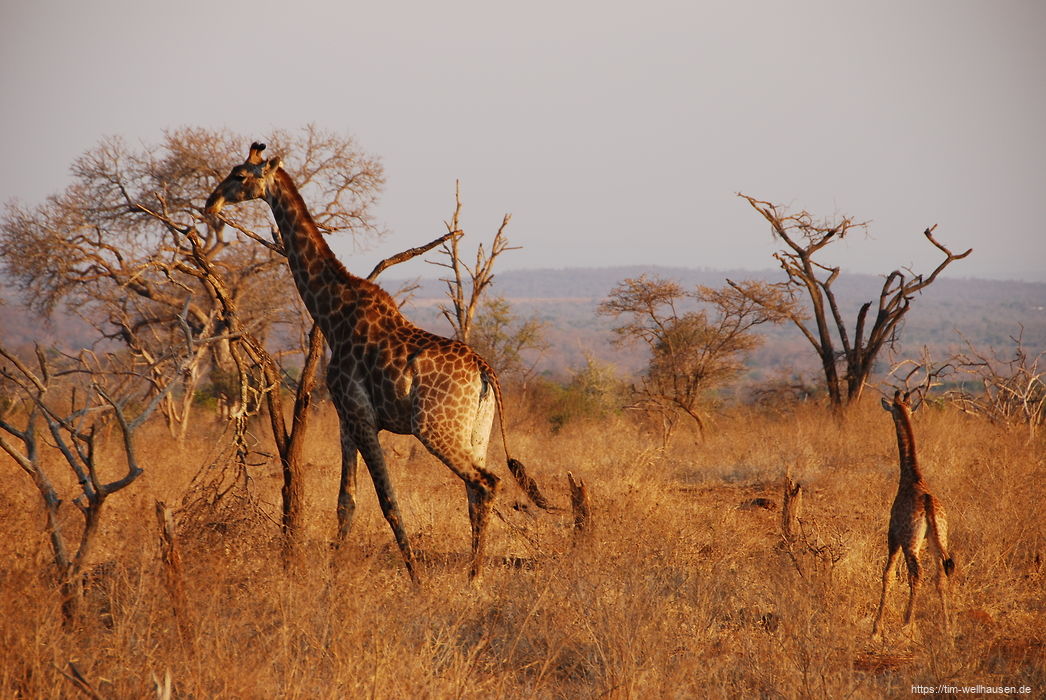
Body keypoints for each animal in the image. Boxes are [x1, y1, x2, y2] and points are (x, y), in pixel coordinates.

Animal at [198, 140, 552, 577]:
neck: (332, 314)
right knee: (476, 489)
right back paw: (476, 576)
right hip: (475, 431)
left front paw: (416, 579)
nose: (210, 203)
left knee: (486, 482)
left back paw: (472, 579)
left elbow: (387, 502)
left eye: (240, 175)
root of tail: (486, 372)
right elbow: (346, 502)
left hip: (434, 428)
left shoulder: (361, 416)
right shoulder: (345, 420)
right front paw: (332, 581)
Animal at [874, 391, 958, 636]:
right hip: (938, 538)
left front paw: (876, 629)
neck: (912, 478)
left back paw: (907, 623)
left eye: (892, 410)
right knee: (941, 575)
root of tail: (929, 505)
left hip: (911, 542)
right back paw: (946, 626)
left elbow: (888, 574)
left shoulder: (893, 535)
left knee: (917, 574)